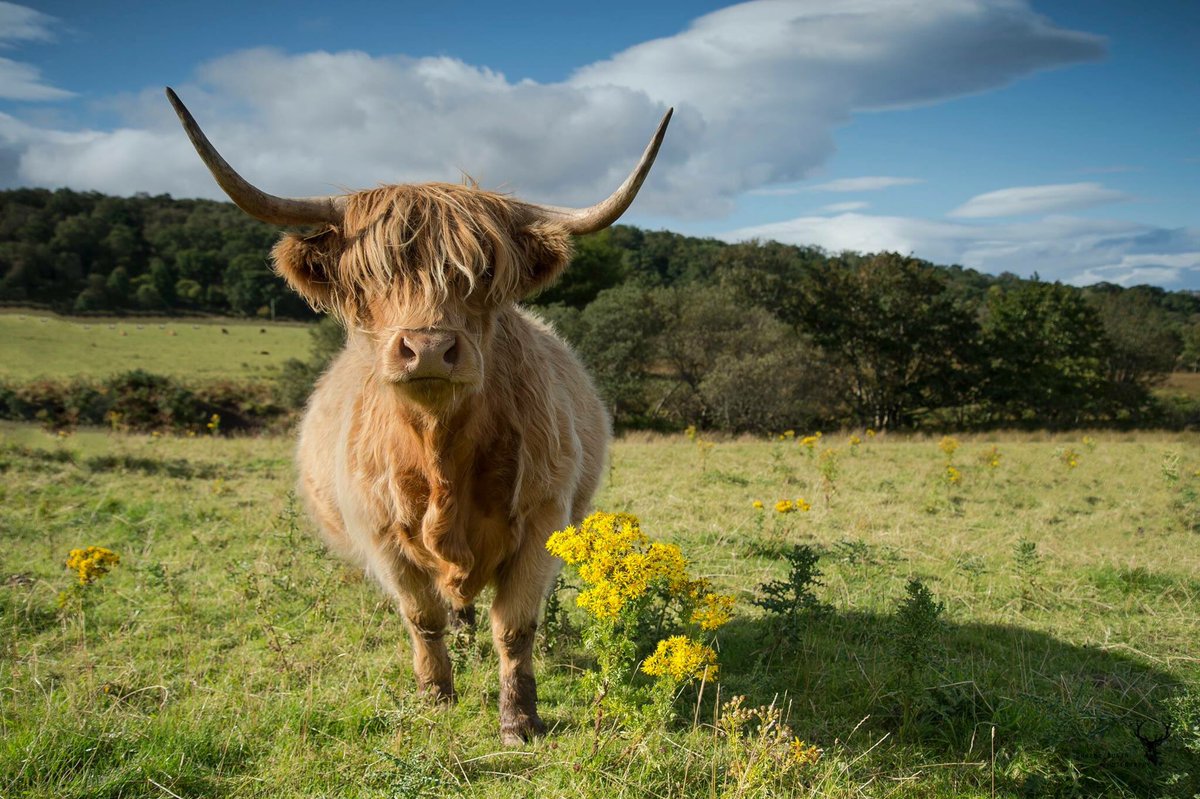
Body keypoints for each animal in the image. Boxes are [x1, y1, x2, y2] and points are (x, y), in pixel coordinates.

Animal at [166, 88, 671, 744]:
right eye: (371, 276)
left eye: (483, 274)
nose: (429, 347)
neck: (441, 456)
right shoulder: (380, 535)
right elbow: (420, 617)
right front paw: (436, 700)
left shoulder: (543, 518)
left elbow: (515, 627)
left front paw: (519, 720)